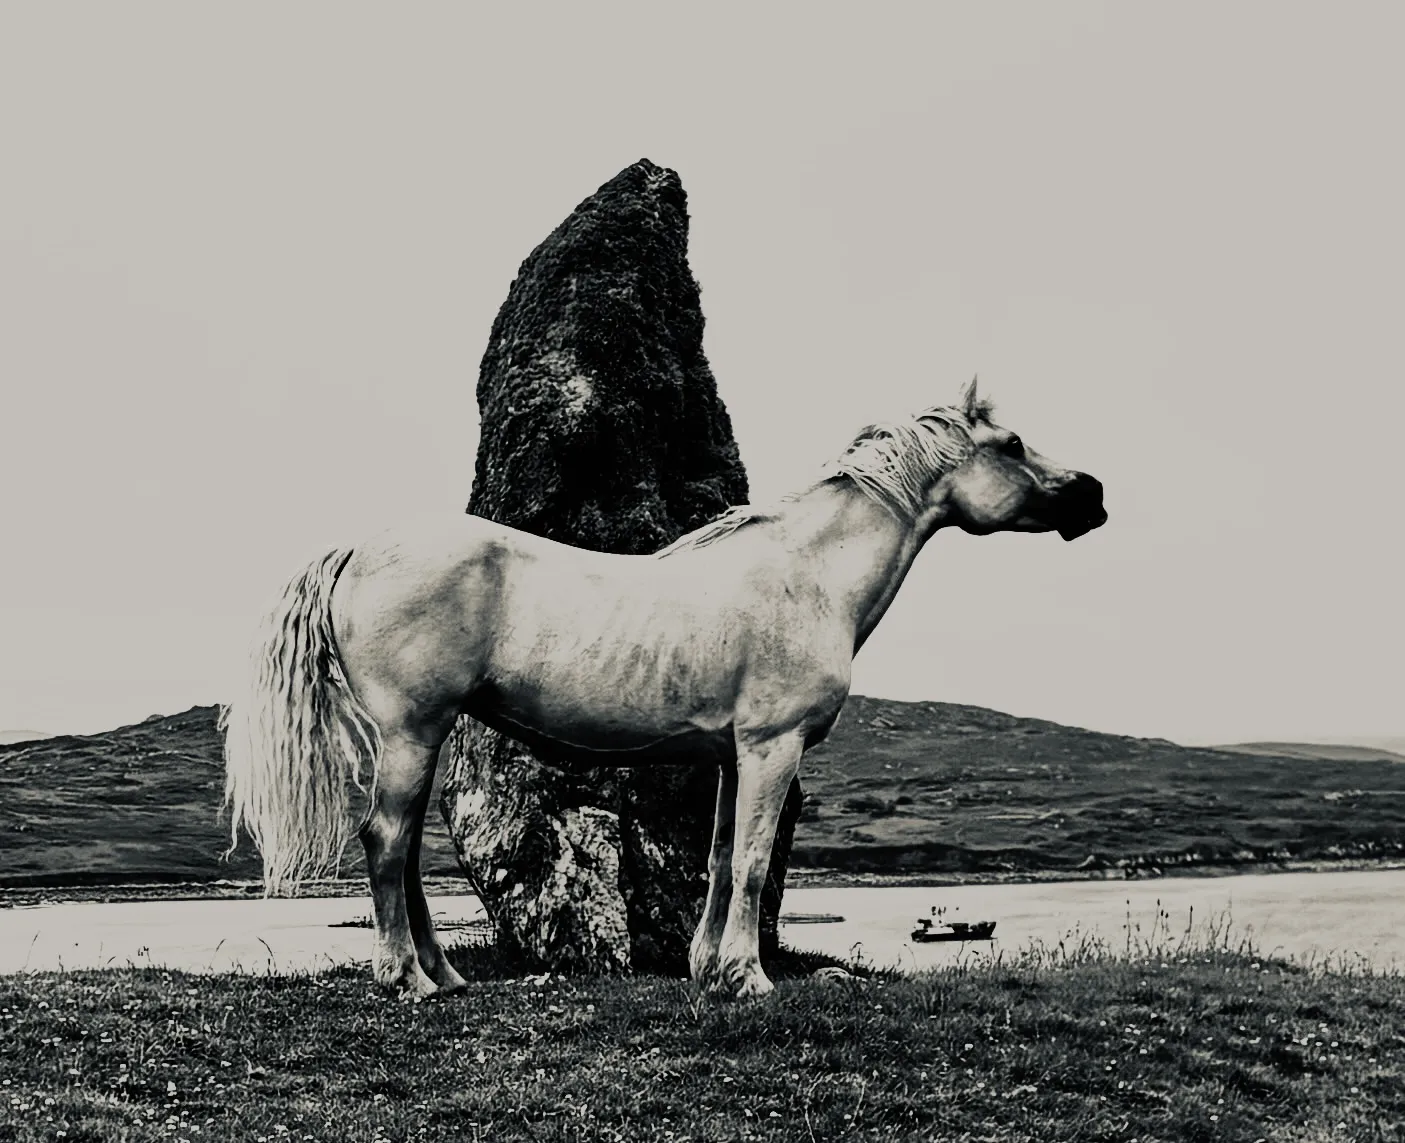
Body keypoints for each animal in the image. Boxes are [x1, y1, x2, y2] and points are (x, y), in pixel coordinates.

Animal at [221, 378, 1106, 999]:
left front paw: (710, 968)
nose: (1092, 495)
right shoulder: (771, 747)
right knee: (385, 841)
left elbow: (718, 859)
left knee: (402, 851)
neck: (809, 576)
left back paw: (442, 974)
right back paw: (406, 978)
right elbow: (752, 860)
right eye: (1012, 442)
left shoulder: (731, 756)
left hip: (422, 737)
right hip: (412, 729)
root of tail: (357, 549)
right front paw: (749, 978)